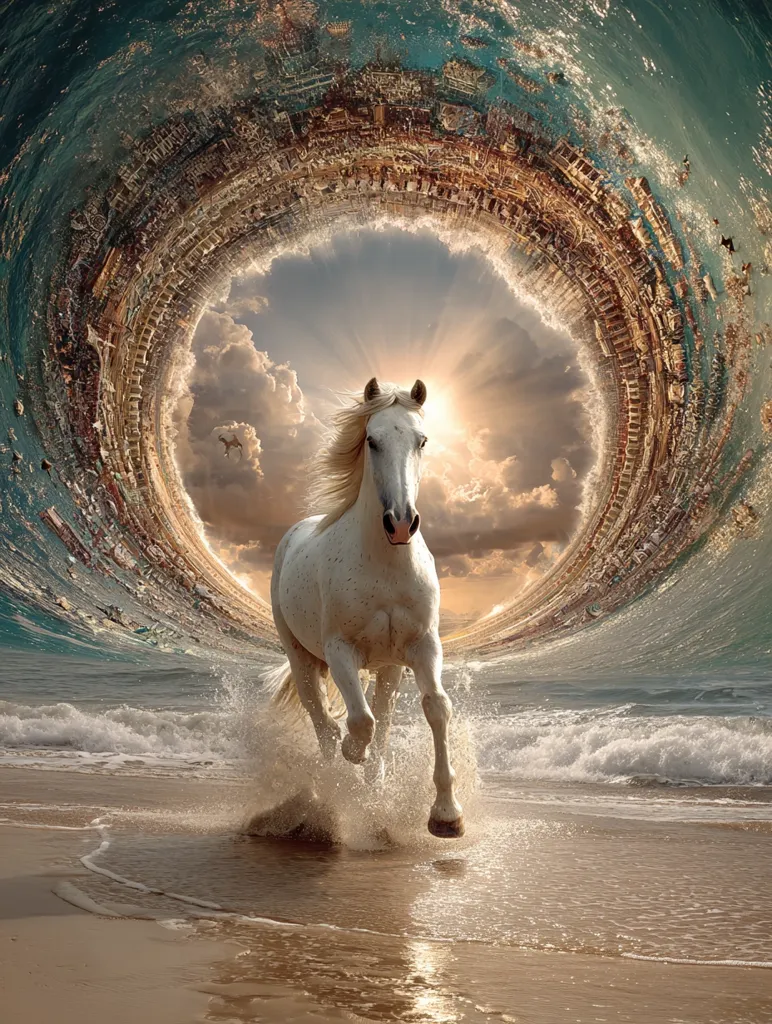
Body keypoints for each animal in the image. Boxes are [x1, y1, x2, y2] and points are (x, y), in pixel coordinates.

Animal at [267, 377, 464, 838]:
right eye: (372, 440)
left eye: (422, 440)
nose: (401, 523)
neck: (385, 565)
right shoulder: (341, 650)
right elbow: (359, 722)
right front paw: (352, 753)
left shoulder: (423, 646)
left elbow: (435, 707)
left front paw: (447, 814)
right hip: (301, 657)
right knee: (321, 719)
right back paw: (333, 786)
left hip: (389, 667)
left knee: (384, 715)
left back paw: (373, 782)